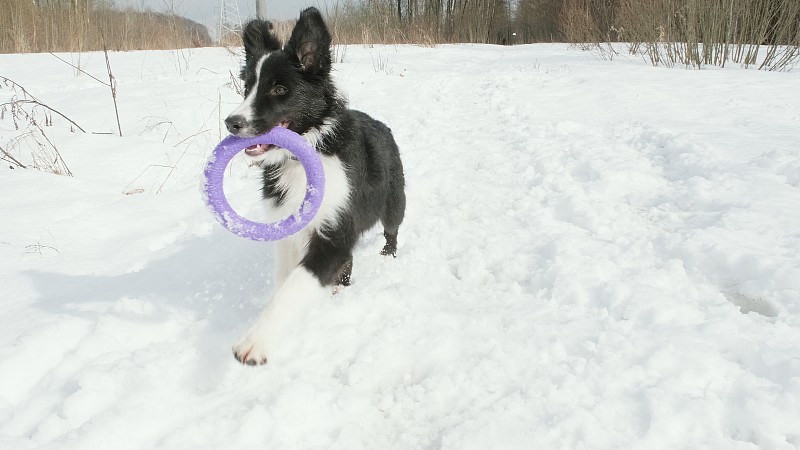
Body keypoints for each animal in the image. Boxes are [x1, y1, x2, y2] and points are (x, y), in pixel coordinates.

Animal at [223, 7, 406, 366]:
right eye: (247, 86)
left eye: (280, 89)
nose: (232, 123)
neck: (302, 157)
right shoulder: (288, 226)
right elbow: (285, 279)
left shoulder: (334, 229)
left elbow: (295, 285)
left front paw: (255, 341)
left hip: (395, 200)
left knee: (392, 228)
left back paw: (387, 254)